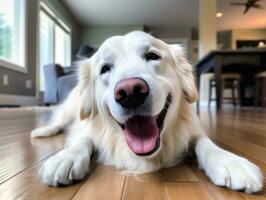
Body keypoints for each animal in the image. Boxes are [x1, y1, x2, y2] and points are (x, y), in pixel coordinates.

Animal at [31, 31, 264, 194]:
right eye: (105, 68)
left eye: (152, 55)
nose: (130, 92)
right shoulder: (84, 129)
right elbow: (82, 139)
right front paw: (66, 157)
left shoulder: (192, 130)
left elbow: (203, 141)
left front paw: (229, 161)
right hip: (70, 110)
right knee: (58, 121)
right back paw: (43, 131)